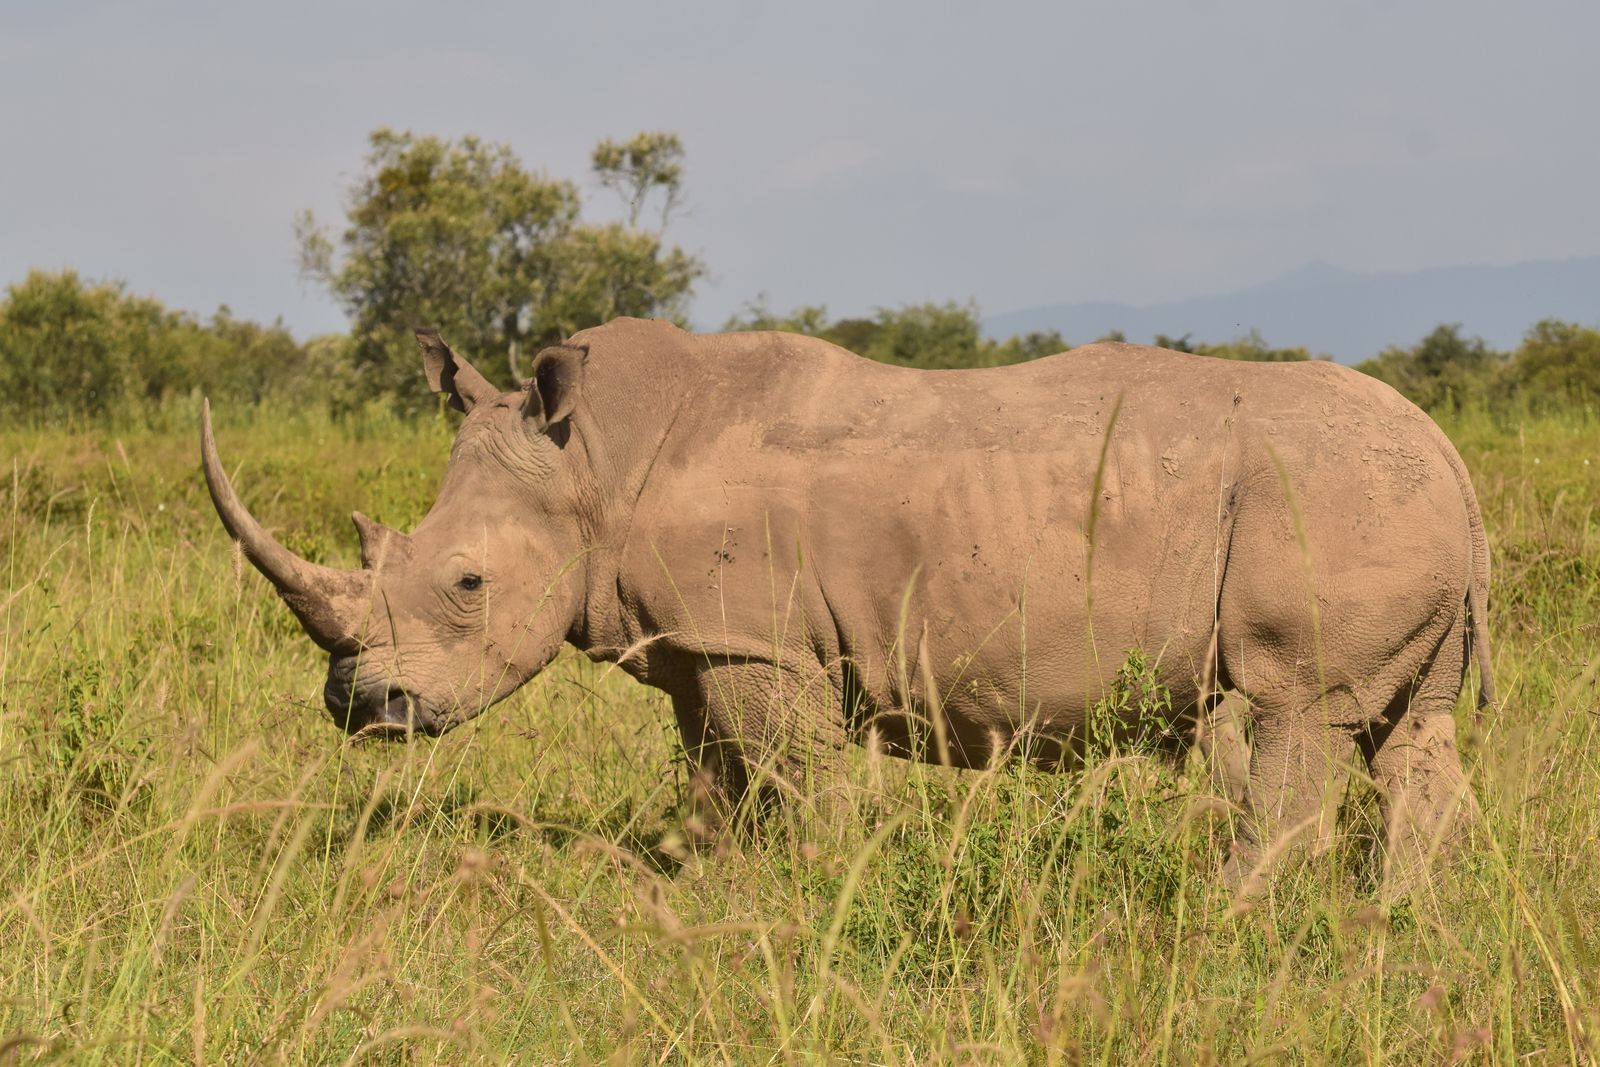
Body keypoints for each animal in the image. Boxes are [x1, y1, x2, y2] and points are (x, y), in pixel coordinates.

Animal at [201, 318, 1492, 885]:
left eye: (466, 582)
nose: (361, 705)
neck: (593, 459)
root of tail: (1450, 452)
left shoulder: (760, 646)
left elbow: (790, 781)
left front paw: (813, 889)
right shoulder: (711, 642)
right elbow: (714, 781)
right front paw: (703, 891)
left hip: (1327, 501)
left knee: (1290, 711)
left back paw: (1225, 914)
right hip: (1391, 502)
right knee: (1410, 734)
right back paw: (1394, 923)